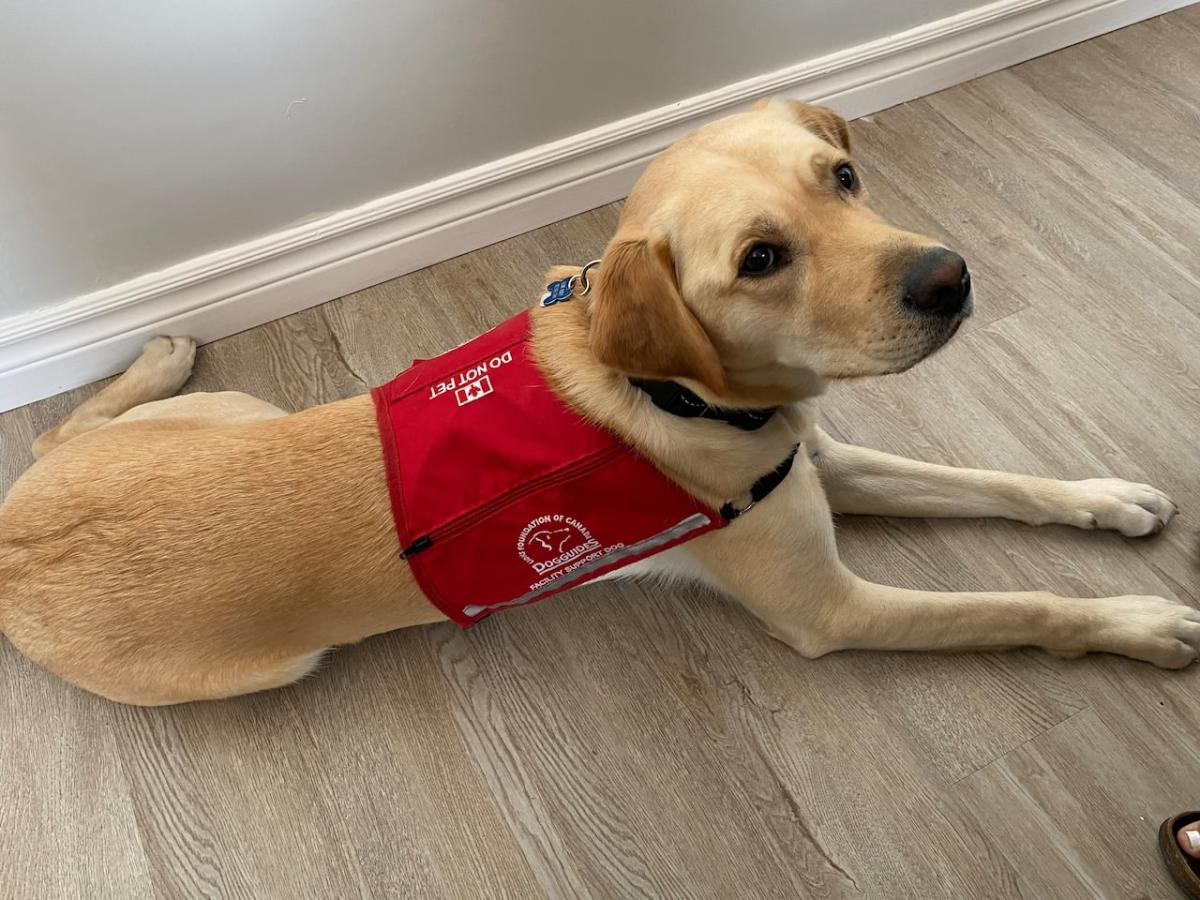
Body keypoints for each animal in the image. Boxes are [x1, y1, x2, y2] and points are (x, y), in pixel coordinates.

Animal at [0, 98, 1190, 705]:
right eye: (761, 259)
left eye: (842, 178)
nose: (952, 279)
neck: (679, 392)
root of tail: (10, 551)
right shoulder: (830, 610)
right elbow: (1017, 606)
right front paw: (1132, 621)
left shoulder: (813, 462)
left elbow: (992, 478)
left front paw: (1104, 497)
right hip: (258, 661)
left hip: (240, 409)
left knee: (65, 430)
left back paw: (157, 354)